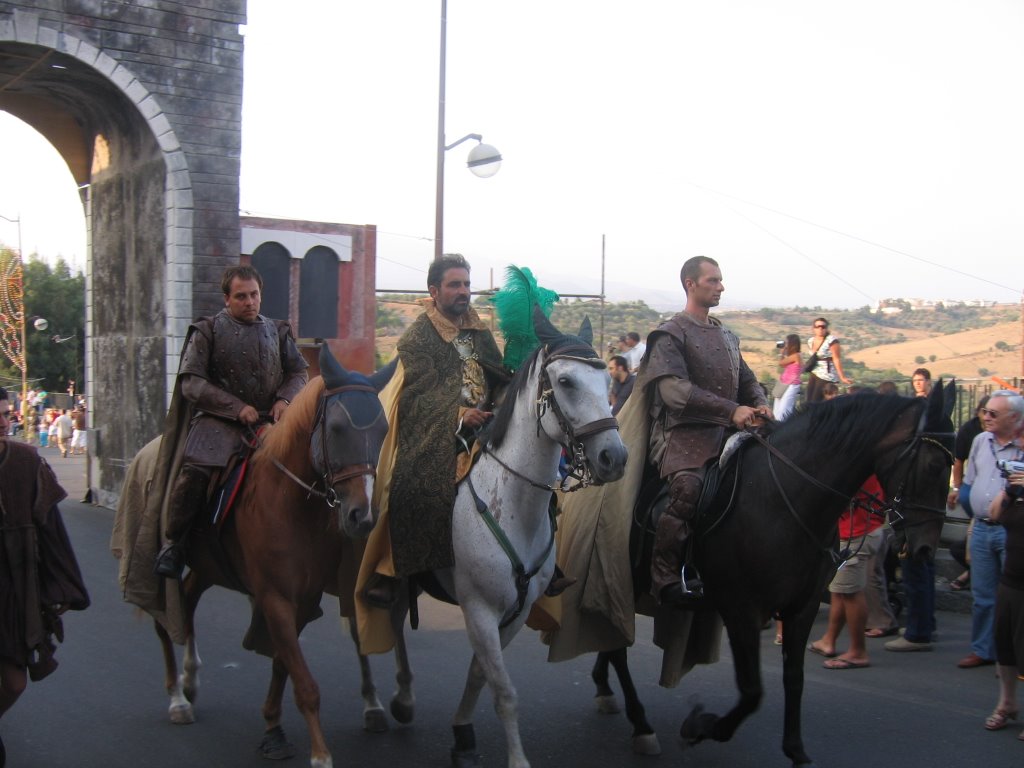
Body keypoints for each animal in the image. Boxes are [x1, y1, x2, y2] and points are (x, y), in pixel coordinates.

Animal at [131, 348, 391, 768]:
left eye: (383, 431)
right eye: (336, 428)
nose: (362, 515)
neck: (290, 500)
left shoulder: (302, 600)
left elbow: (284, 663)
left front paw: (272, 727)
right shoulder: (275, 597)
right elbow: (304, 682)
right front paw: (320, 754)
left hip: (208, 566)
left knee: (186, 603)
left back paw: (190, 680)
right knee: (164, 616)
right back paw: (176, 697)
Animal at [385, 311, 626, 768]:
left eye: (608, 382)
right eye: (566, 381)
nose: (615, 458)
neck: (512, 504)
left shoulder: (516, 613)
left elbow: (482, 675)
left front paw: (462, 733)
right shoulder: (479, 609)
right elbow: (505, 692)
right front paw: (517, 759)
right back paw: (388, 700)